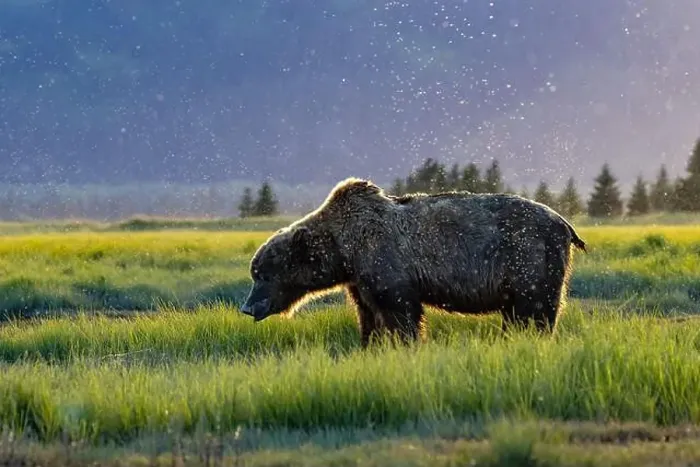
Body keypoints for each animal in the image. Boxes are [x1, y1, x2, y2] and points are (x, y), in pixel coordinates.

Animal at [239, 177, 587, 347]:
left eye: (263, 274)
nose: (247, 307)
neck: (345, 250)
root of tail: (564, 223)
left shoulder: (387, 264)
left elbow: (400, 312)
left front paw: (404, 344)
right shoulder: (360, 281)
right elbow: (368, 316)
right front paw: (370, 346)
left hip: (530, 256)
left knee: (535, 307)